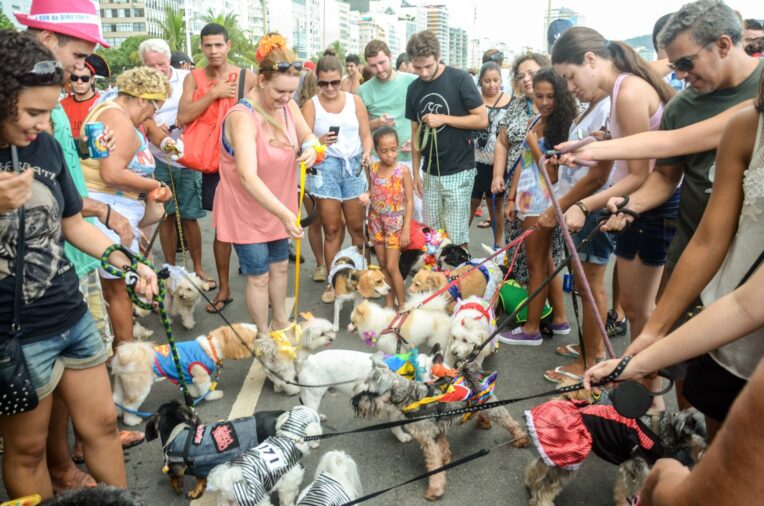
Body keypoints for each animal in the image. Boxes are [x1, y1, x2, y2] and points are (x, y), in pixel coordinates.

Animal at [110, 322, 258, 424]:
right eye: (253, 337)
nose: (257, 327)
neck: (212, 347)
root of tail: (125, 356)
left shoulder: (187, 375)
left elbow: (192, 387)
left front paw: (194, 395)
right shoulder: (201, 375)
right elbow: (206, 388)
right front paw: (212, 395)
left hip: (121, 384)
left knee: (117, 400)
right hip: (139, 388)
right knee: (128, 404)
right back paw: (132, 420)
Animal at [145, 402, 286, 500]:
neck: (176, 431)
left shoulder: (175, 468)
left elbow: (173, 478)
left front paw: (182, 490)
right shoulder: (199, 467)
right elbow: (200, 479)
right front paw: (197, 492)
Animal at [350, 354, 524, 500]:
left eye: (369, 392)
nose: (354, 402)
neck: (411, 397)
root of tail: (475, 375)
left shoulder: (428, 439)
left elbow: (434, 465)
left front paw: (435, 490)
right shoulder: (436, 432)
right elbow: (443, 447)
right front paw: (445, 458)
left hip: (494, 409)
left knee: (511, 422)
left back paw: (521, 438)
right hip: (480, 406)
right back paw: (483, 422)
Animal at [524, 386, 708, 504]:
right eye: (708, 432)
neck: (664, 430)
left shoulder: (631, 466)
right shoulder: (635, 468)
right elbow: (629, 491)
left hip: (555, 455)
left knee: (536, 469)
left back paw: (530, 483)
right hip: (568, 459)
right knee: (545, 489)